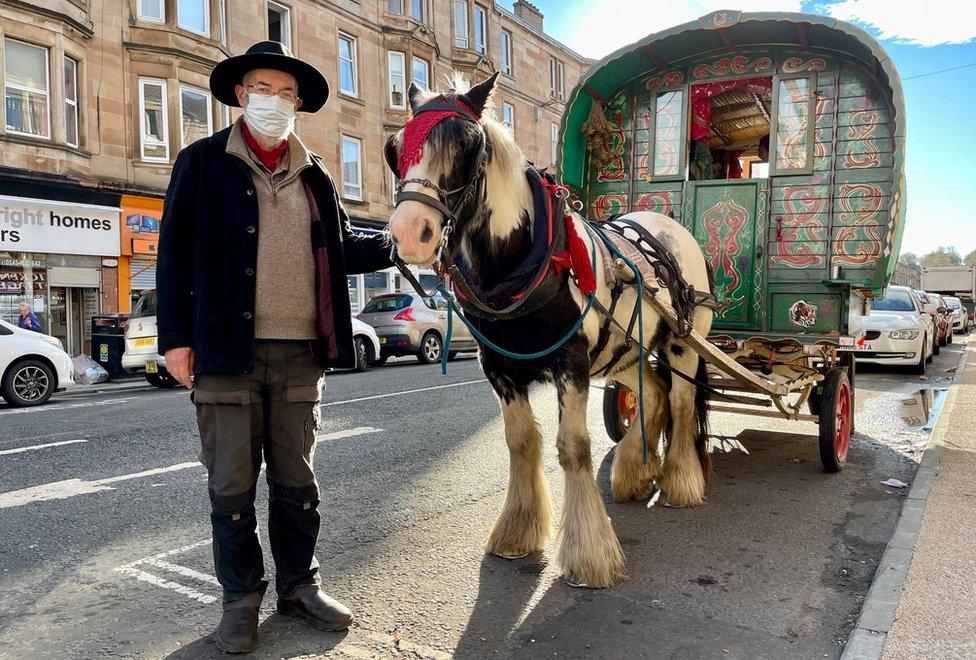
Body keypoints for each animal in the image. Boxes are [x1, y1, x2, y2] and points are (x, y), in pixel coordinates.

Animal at [386, 72, 712, 588]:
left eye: (468, 147)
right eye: (395, 148)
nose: (407, 231)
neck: (519, 268)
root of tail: (664, 224)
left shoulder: (571, 362)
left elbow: (573, 447)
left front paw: (590, 555)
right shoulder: (500, 368)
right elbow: (521, 442)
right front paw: (516, 532)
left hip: (683, 343)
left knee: (680, 400)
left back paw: (680, 480)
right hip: (623, 352)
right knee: (655, 393)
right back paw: (636, 472)